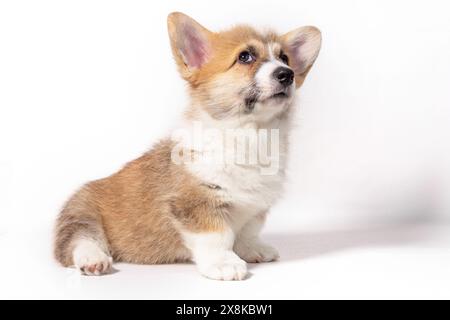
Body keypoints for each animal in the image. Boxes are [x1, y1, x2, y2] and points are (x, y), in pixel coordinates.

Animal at [53, 11, 320, 280]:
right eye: (245, 57)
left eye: (284, 58)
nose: (287, 74)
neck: (248, 133)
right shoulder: (196, 203)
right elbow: (217, 236)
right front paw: (224, 263)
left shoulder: (256, 206)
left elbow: (248, 230)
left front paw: (253, 249)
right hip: (81, 211)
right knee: (79, 239)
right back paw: (93, 259)